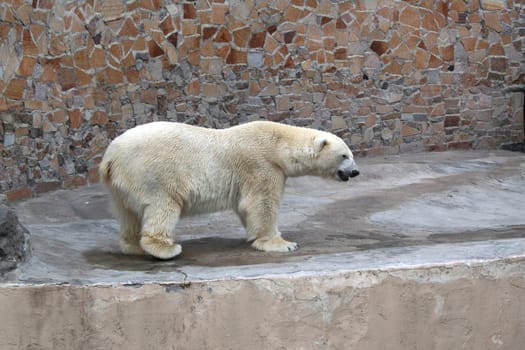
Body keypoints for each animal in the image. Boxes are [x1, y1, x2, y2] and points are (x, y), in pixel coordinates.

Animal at [99, 121, 356, 258]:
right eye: (344, 155)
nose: (355, 172)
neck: (278, 144)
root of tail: (110, 157)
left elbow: (245, 207)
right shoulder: (262, 165)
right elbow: (261, 204)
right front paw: (282, 244)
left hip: (121, 186)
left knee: (127, 213)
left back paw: (134, 247)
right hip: (154, 173)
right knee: (163, 205)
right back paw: (166, 249)